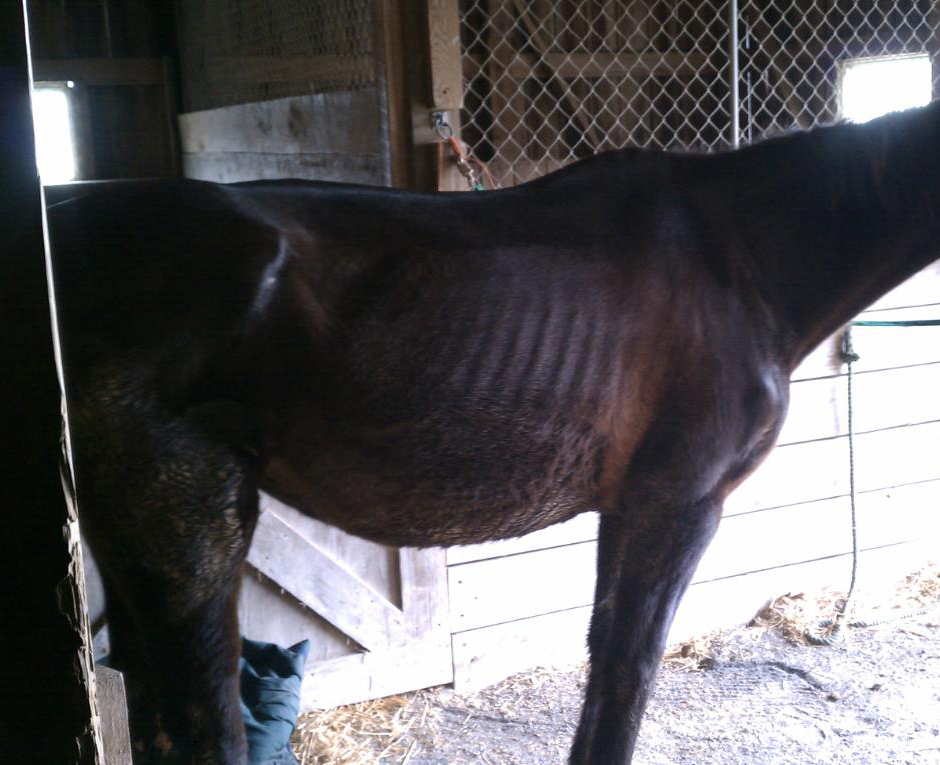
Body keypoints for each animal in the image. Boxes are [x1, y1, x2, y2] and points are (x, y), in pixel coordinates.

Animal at [47, 99, 940, 764]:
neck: (742, 257)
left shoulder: (627, 505)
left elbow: (604, 654)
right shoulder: (680, 503)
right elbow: (628, 669)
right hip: (191, 523)